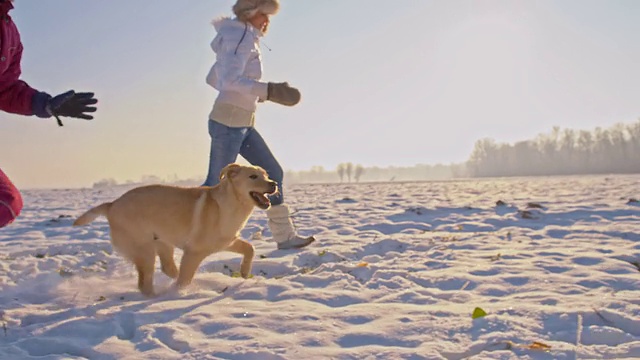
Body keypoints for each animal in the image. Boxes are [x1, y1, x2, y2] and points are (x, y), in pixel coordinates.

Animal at [73, 165, 278, 296]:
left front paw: (244, 272)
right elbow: (184, 279)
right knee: (145, 284)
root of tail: (112, 204)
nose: (274, 183)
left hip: (163, 242)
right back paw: (158, 298)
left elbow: (250, 248)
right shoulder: (194, 252)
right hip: (145, 250)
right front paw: (178, 294)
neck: (231, 205)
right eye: (253, 177)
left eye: (265, 174)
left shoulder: (227, 241)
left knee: (167, 268)